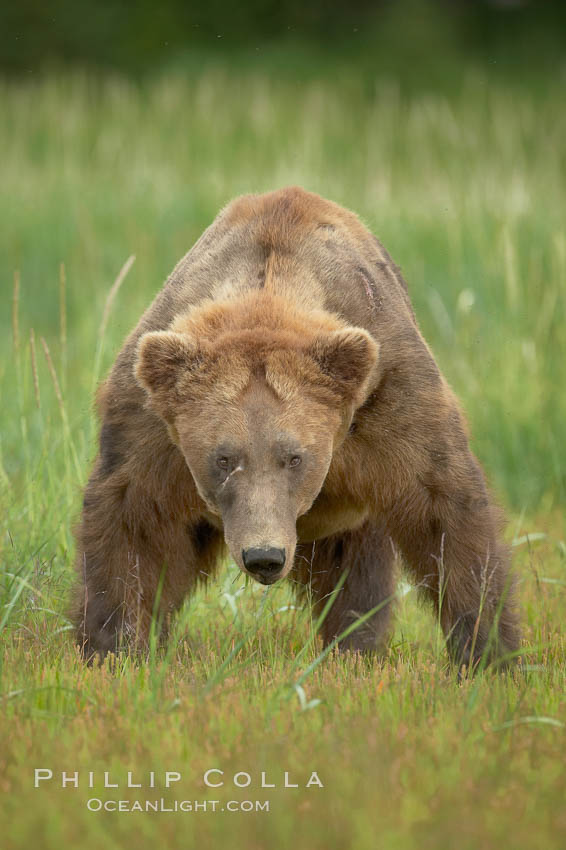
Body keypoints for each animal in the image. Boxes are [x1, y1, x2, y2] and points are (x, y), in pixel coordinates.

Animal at [74, 187, 524, 668]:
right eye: (223, 459)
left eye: (294, 457)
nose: (264, 556)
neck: (272, 286)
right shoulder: (152, 428)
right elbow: (134, 525)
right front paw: (112, 645)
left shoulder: (390, 398)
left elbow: (445, 511)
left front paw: (489, 651)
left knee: (356, 570)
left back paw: (353, 646)